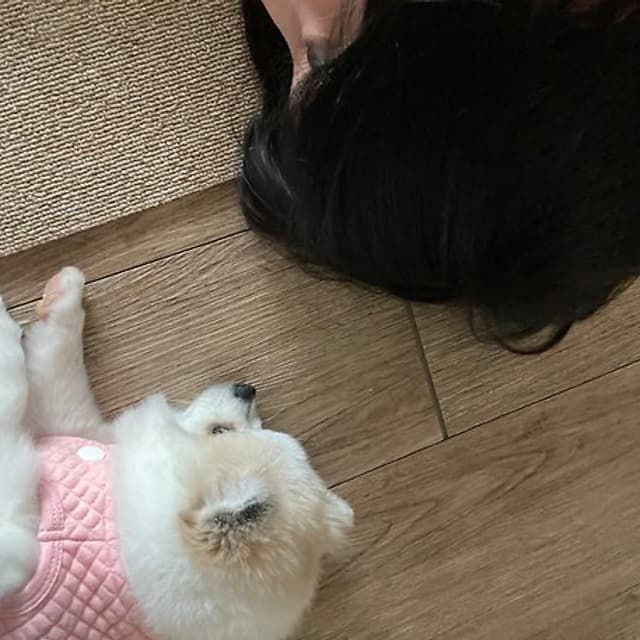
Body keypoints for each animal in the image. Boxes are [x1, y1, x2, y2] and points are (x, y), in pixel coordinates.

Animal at [0, 267, 353, 640]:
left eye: (220, 432)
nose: (246, 388)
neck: (116, 536)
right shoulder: (71, 425)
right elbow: (58, 360)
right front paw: (66, 290)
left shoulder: (20, 545)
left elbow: (11, 395)